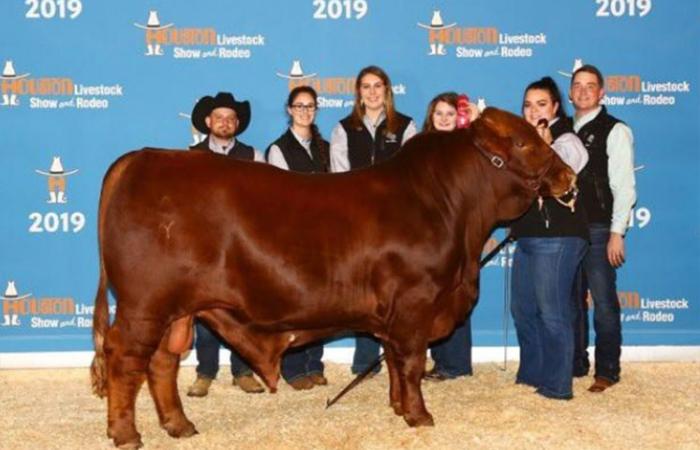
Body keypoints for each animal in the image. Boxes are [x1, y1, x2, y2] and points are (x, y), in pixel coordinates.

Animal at [90, 108, 577, 448]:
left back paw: (179, 426)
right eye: (523, 142)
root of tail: (142, 158)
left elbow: (395, 363)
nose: (568, 175)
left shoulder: (395, 315)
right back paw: (126, 434)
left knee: (161, 363)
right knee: (125, 360)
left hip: (175, 309)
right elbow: (412, 363)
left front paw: (398, 408)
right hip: (144, 304)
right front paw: (419, 416)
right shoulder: (416, 305)